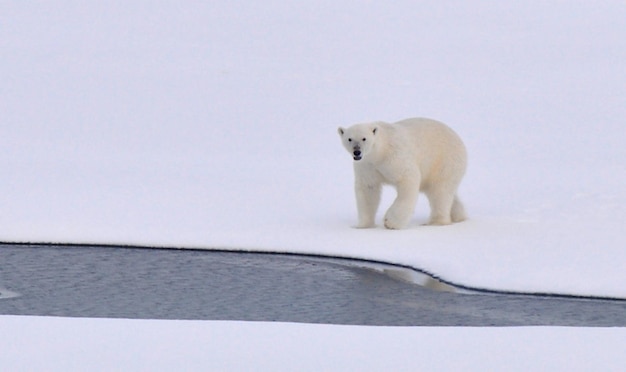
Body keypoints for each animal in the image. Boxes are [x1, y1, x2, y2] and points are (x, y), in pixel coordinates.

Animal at [336, 117, 464, 228]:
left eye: (364, 138)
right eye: (349, 139)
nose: (357, 151)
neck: (380, 152)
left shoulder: (395, 156)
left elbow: (408, 178)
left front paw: (391, 222)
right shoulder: (367, 165)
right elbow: (368, 189)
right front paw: (363, 225)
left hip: (444, 162)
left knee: (440, 191)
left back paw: (435, 222)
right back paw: (459, 216)